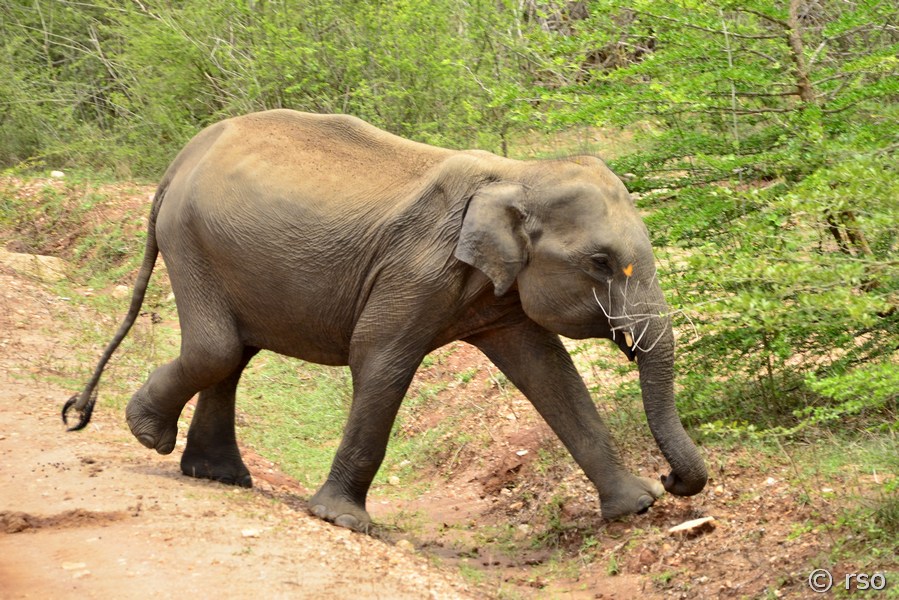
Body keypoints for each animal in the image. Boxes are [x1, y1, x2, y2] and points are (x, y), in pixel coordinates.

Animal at [63, 109, 707, 531]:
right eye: (600, 262)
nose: (672, 482)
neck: (520, 172)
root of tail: (180, 159)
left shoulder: (496, 292)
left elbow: (549, 372)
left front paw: (638, 506)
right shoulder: (415, 269)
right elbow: (382, 361)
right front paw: (343, 522)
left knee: (233, 353)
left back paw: (215, 474)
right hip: (190, 240)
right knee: (217, 348)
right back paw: (149, 435)